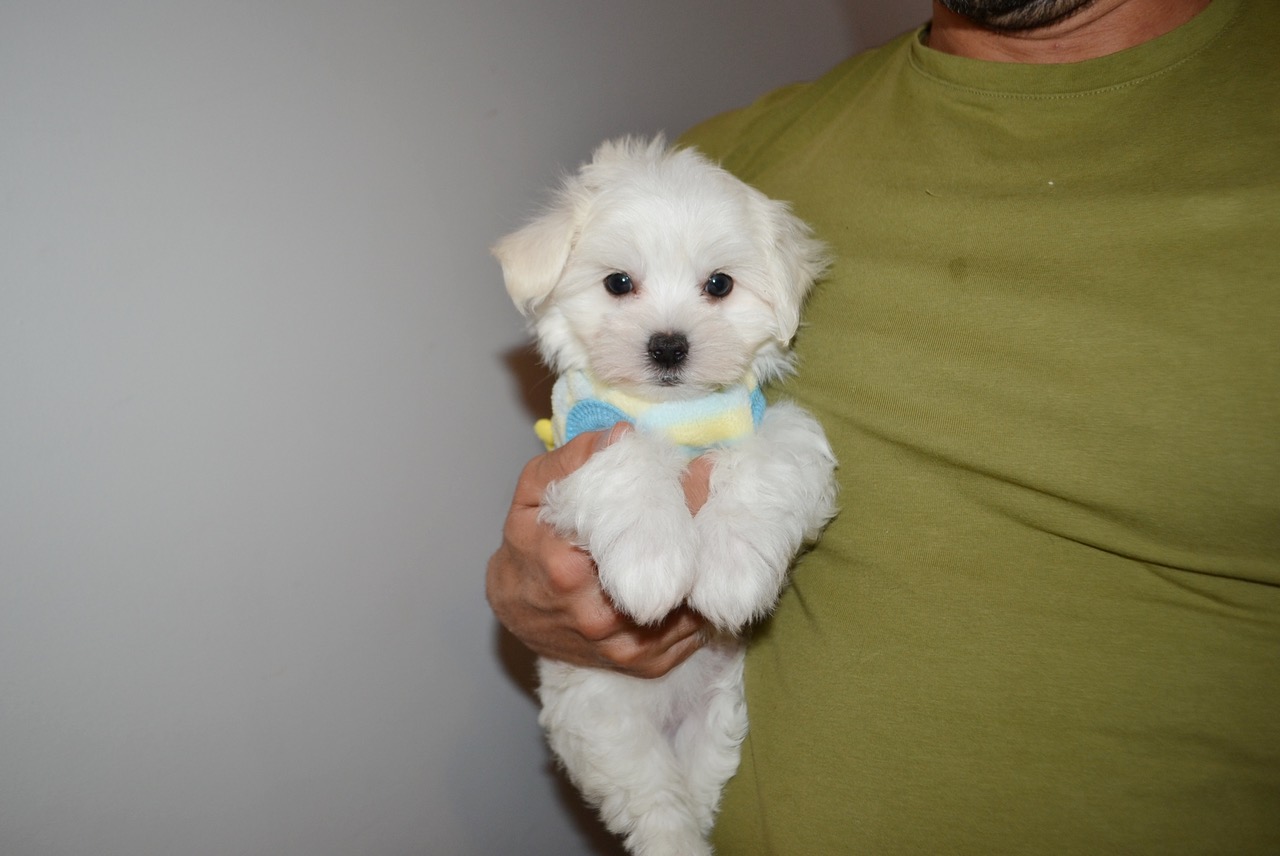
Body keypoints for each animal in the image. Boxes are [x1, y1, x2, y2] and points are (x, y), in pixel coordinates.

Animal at [491, 136, 839, 849]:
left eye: (719, 284)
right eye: (618, 283)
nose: (669, 346)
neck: (679, 416)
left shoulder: (771, 428)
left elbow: (770, 460)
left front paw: (731, 571)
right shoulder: (579, 446)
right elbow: (629, 458)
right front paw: (652, 565)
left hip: (719, 712)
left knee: (700, 775)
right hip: (603, 722)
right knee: (653, 805)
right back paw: (675, 838)